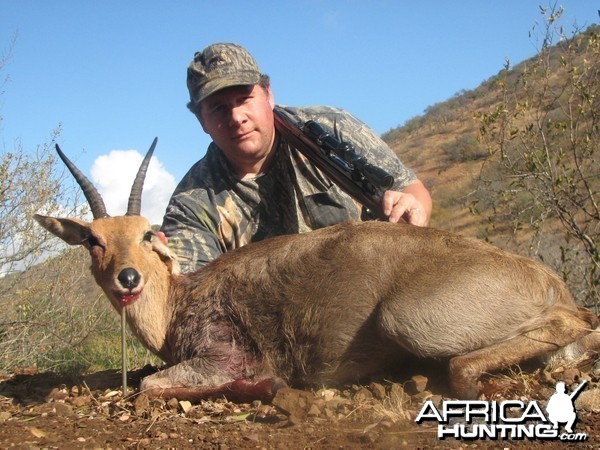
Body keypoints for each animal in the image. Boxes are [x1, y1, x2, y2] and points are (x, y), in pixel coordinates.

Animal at [36, 140, 600, 400]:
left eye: (147, 234)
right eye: (93, 240)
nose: (127, 278)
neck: (179, 301)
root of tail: (548, 280)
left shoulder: (223, 357)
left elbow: (150, 384)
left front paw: (265, 385)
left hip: (409, 320)